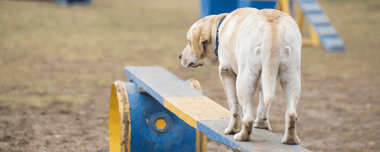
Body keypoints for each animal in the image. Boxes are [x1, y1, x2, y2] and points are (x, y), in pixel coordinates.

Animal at [180, 7, 302, 144]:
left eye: (189, 42)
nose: (179, 56)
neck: (219, 29)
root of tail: (272, 26)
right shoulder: (266, 79)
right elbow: (263, 105)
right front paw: (262, 125)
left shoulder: (226, 72)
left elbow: (234, 106)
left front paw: (232, 129)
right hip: (291, 77)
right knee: (291, 114)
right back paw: (290, 139)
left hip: (244, 81)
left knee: (248, 117)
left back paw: (242, 136)